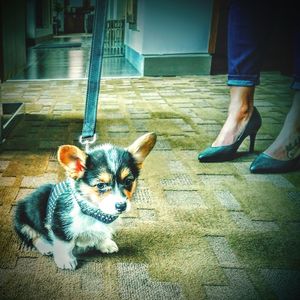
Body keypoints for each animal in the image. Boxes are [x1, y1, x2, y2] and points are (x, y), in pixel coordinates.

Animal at [13, 133, 157, 270]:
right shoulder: (59, 226)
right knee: (32, 236)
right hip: (22, 218)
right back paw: (46, 247)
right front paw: (66, 260)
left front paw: (105, 243)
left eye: (128, 181)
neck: (93, 210)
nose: (121, 206)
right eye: (100, 185)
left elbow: (101, 234)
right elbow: (65, 244)